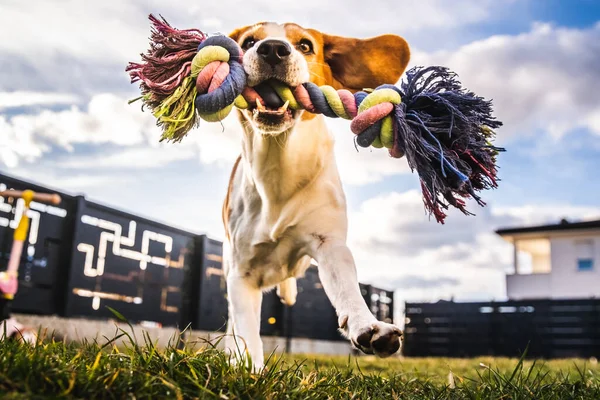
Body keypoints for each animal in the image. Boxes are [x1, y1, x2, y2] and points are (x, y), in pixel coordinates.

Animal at [223, 22, 410, 368]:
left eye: (306, 45)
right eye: (249, 41)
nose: (272, 49)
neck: (278, 165)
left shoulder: (329, 244)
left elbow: (348, 288)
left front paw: (369, 327)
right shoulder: (240, 274)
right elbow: (248, 334)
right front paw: (251, 369)